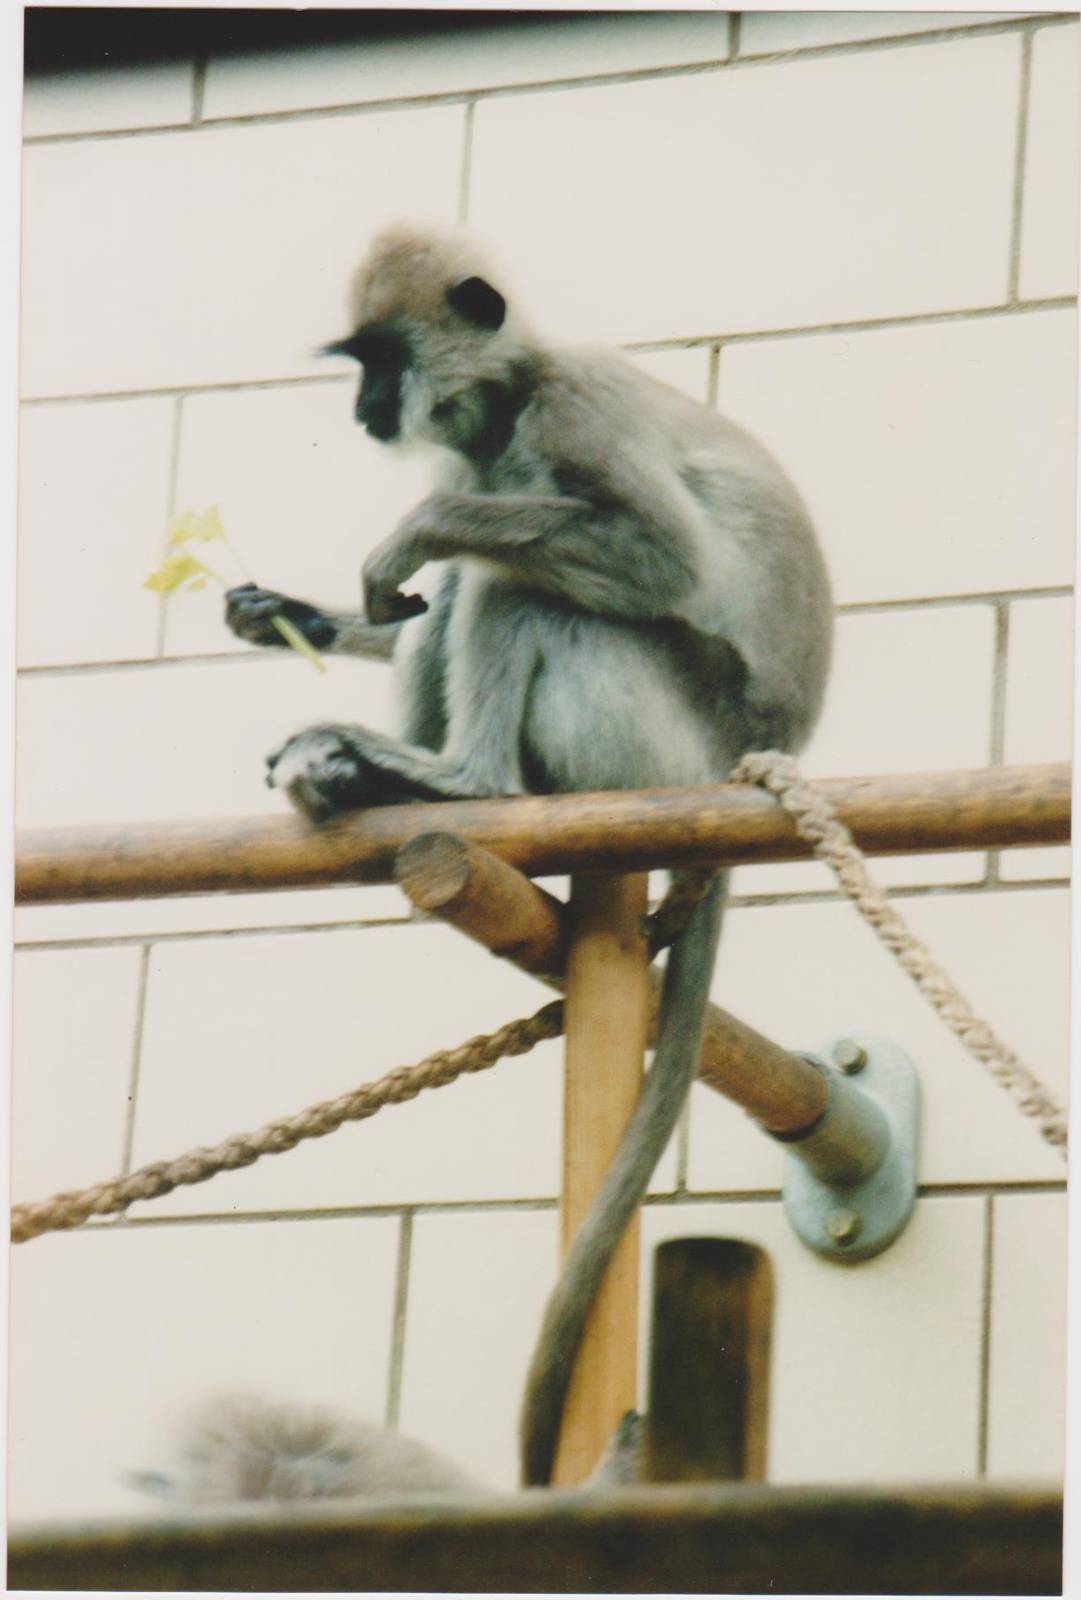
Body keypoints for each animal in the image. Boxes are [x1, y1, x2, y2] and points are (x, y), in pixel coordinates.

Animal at [224, 223, 833, 1487]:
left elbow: (654, 559)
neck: (502, 402)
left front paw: (405, 540)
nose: (363, 408)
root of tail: (755, 759)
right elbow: (404, 602)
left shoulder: (571, 409)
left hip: (662, 738)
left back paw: (459, 781)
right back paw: (355, 773)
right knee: (483, 575)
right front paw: (287, 612)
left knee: (518, 579)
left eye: (379, 360)